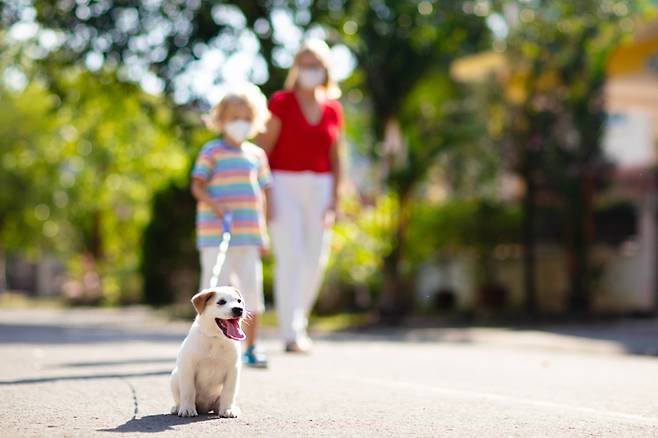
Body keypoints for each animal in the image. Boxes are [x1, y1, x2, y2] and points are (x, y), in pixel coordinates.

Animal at [170, 288, 245, 418]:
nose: (239, 309)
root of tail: (205, 408)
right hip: (175, 376)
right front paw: (187, 409)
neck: (215, 338)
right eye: (221, 302)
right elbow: (188, 390)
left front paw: (228, 409)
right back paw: (178, 408)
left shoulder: (233, 370)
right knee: (180, 398)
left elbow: (229, 392)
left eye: (239, 301)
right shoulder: (188, 367)